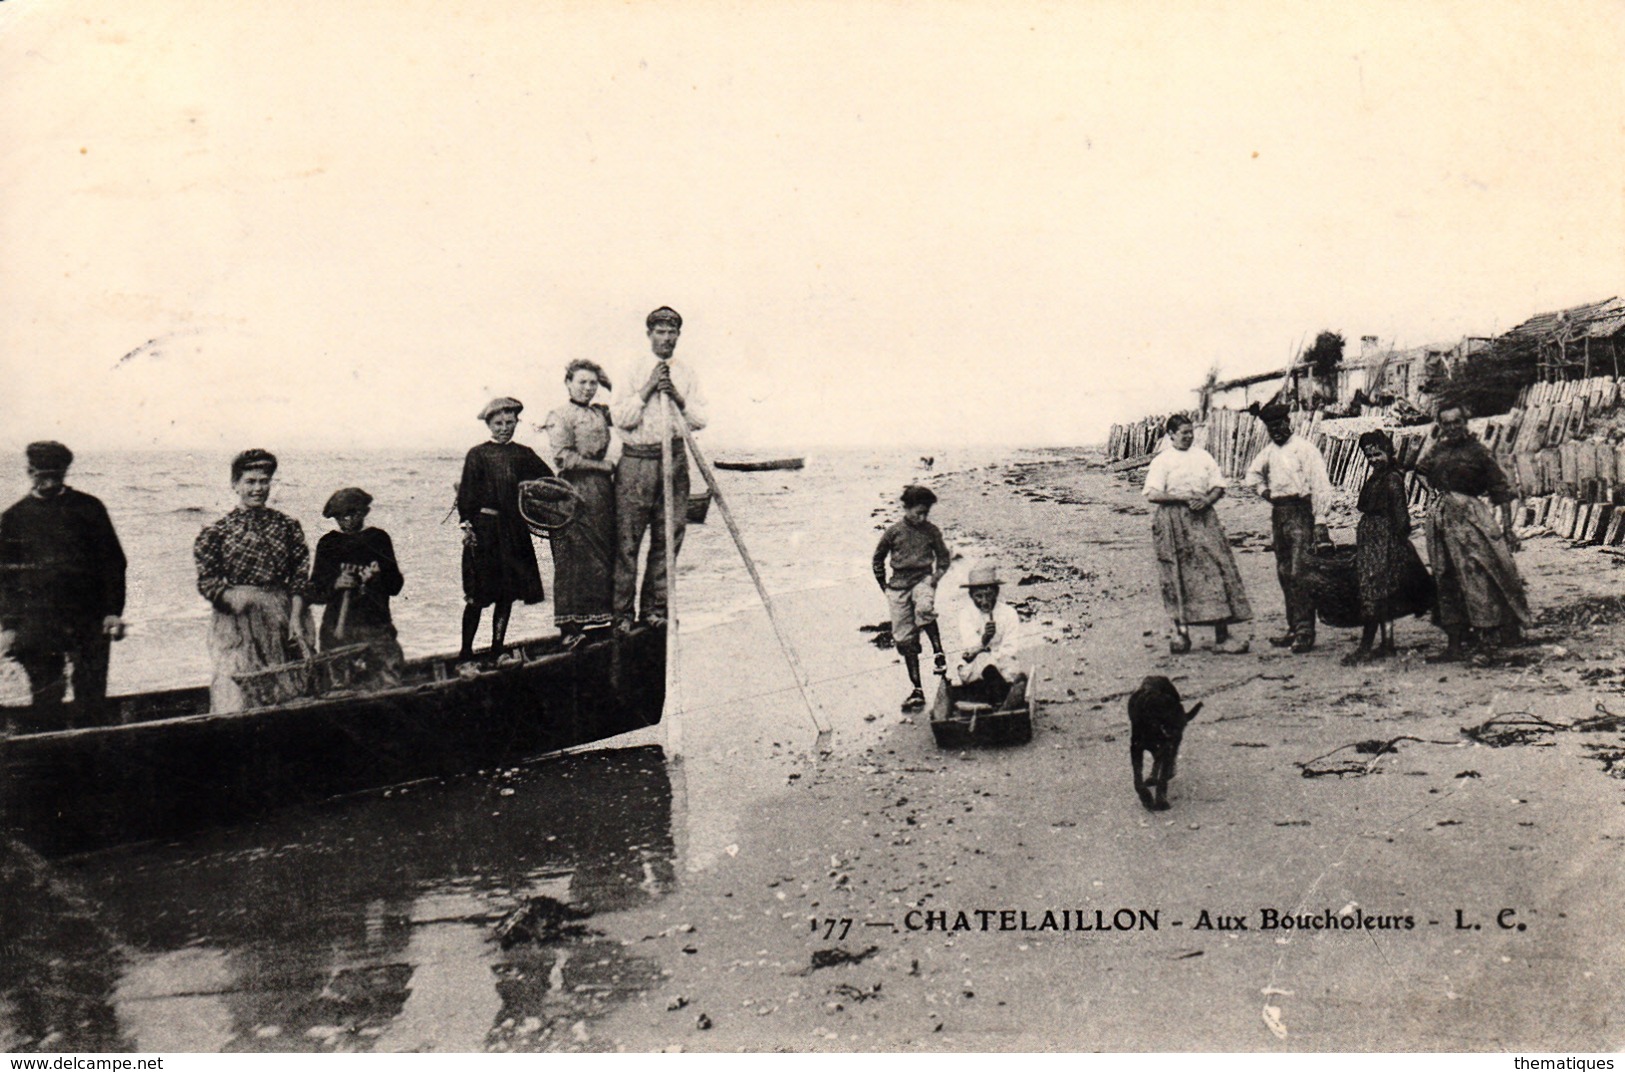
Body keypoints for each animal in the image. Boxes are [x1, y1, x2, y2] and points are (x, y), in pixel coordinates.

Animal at [1131, 678, 1209, 812]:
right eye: (1163, 719)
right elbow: (1137, 778)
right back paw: (1153, 778)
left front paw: (1161, 802)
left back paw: (1167, 773)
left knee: (1164, 760)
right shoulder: (1136, 748)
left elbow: (1162, 778)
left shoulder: (1167, 747)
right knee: (1158, 759)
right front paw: (1146, 799)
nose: (1179, 729)